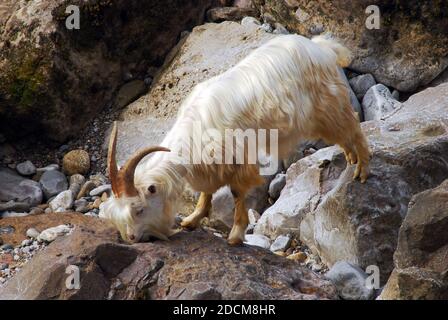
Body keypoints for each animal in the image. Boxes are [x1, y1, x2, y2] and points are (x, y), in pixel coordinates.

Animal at [100, 33, 372, 245]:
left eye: (139, 209)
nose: (131, 239)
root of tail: (320, 47)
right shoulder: (210, 165)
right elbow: (207, 192)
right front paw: (192, 219)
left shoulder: (239, 158)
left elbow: (237, 192)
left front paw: (235, 235)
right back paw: (350, 157)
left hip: (328, 105)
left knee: (353, 125)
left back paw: (361, 169)